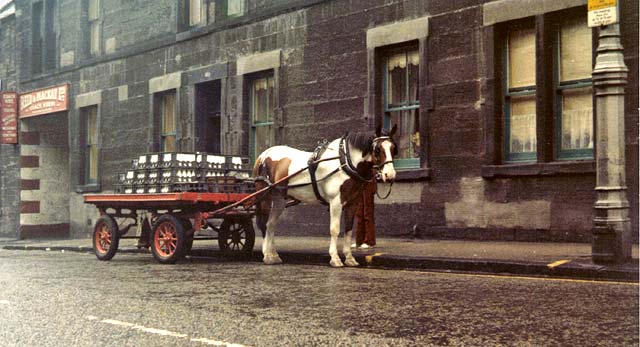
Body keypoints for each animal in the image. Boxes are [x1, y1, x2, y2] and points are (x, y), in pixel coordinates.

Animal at [252, 126, 398, 268]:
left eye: (393, 149)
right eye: (377, 150)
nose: (390, 175)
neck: (344, 162)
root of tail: (263, 155)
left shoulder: (352, 203)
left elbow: (349, 229)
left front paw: (350, 258)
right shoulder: (336, 202)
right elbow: (334, 229)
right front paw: (335, 258)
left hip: (279, 199)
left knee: (271, 224)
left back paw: (273, 254)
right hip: (264, 196)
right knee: (264, 224)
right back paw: (267, 255)